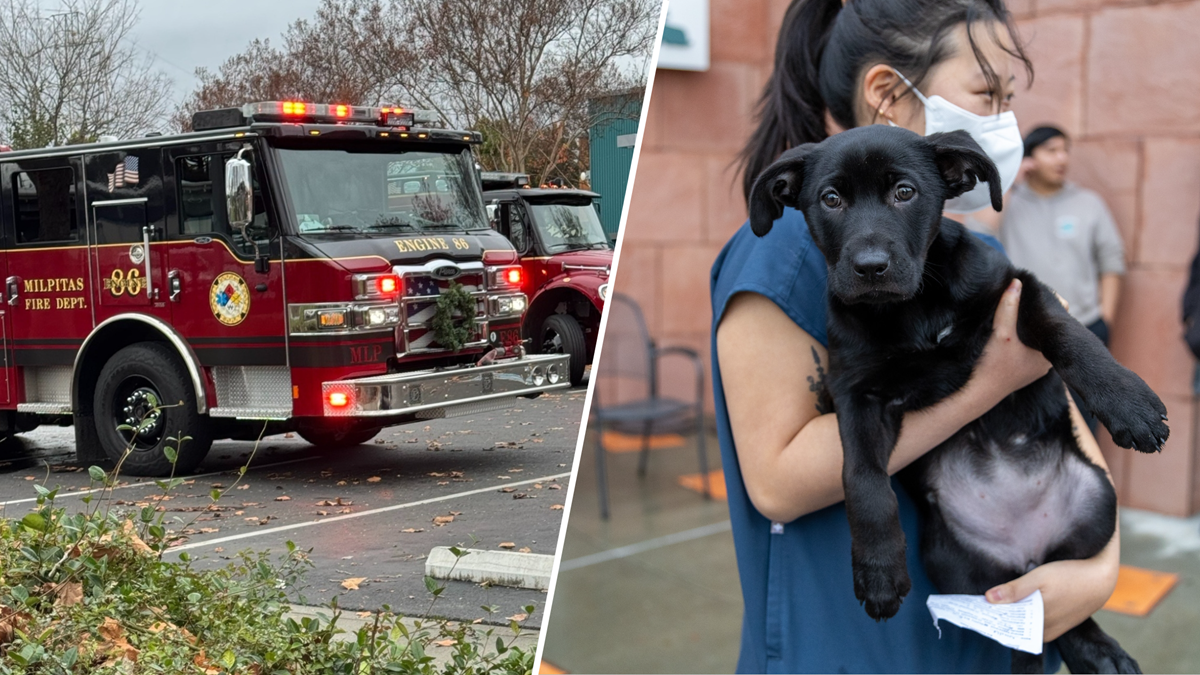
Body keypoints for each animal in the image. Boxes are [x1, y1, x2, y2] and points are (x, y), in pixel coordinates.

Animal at [744, 123, 1166, 667]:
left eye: (905, 192)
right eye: (831, 199)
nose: (870, 267)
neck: (911, 308)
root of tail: (1023, 551)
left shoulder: (1017, 289)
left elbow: (1066, 332)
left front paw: (1127, 402)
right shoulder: (856, 391)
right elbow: (861, 475)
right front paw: (878, 570)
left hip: (1098, 502)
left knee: (1059, 592)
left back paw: (1099, 650)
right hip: (951, 561)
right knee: (1042, 600)